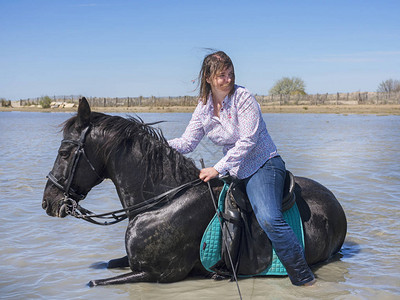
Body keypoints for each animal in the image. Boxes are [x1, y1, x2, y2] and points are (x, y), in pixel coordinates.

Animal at [41, 98, 346, 286]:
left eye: (64, 152)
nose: (48, 202)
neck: (160, 204)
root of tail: (336, 204)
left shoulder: (152, 273)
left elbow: (93, 282)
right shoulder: (133, 262)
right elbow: (107, 264)